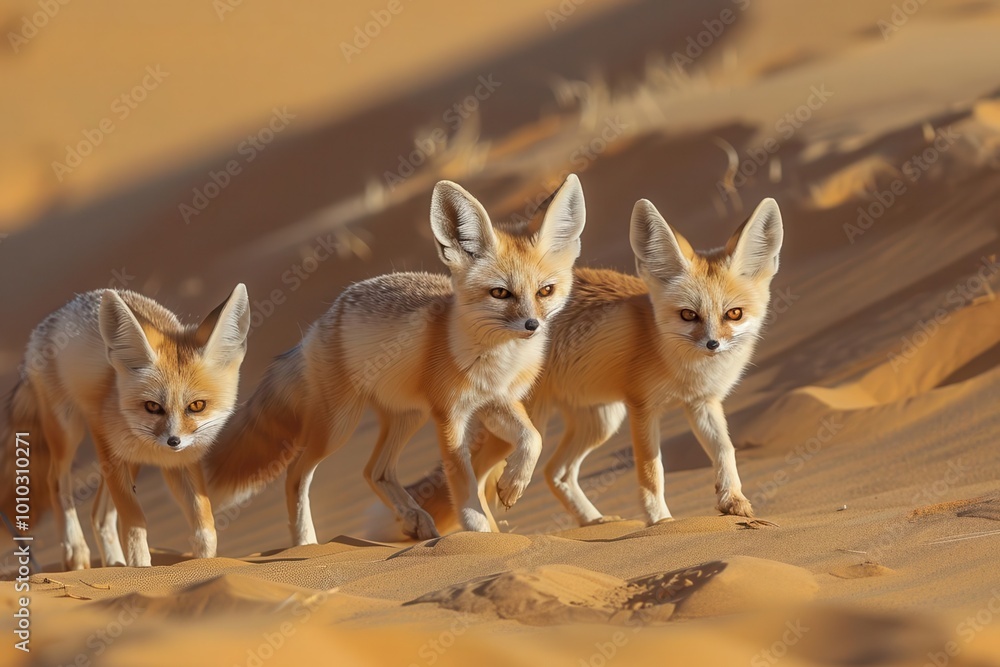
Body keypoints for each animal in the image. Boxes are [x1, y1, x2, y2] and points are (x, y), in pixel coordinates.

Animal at [0, 285, 250, 569]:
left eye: (197, 406)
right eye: (152, 406)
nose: (173, 441)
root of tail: (49, 322)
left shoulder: (181, 461)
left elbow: (205, 525)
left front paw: (204, 565)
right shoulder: (111, 452)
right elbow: (134, 523)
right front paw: (140, 568)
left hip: (131, 461)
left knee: (98, 514)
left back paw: (114, 565)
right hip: (69, 433)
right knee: (56, 482)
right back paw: (76, 551)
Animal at [205, 175, 587, 544]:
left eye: (545, 291)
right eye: (500, 293)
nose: (533, 325)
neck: (497, 362)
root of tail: (322, 322)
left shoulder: (497, 403)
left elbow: (532, 439)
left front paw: (512, 485)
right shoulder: (450, 416)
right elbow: (465, 490)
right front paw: (481, 536)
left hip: (408, 416)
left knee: (374, 471)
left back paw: (415, 519)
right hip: (338, 427)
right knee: (296, 475)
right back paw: (306, 543)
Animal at [395, 197, 783, 533]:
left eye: (734, 314)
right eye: (689, 315)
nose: (713, 344)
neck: (681, 366)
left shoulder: (702, 403)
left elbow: (725, 450)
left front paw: (733, 500)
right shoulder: (642, 408)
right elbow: (651, 473)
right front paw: (661, 523)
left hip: (600, 421)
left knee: (556, 472)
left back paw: (593, 522)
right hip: (530, 425)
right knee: (475, 476)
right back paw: (492, 532)